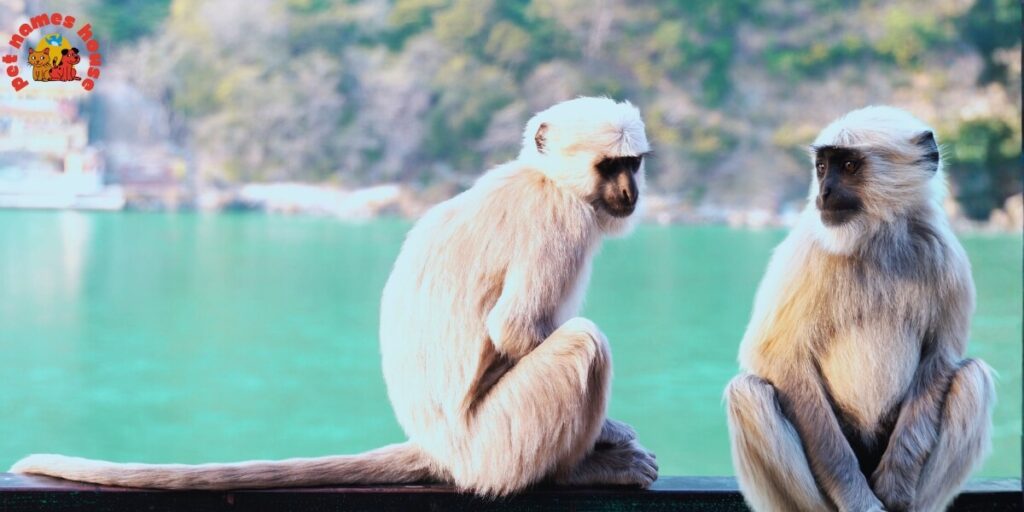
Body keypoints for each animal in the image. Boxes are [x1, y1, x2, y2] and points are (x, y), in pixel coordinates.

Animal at [11, 96, 658, 496]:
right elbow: (517, 329)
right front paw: (610, 434)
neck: (544, 180)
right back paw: (576, 472)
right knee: (582, 341)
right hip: (500, 446)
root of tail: (441, 451)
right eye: (611, 167)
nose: (630, 192)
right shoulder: (561, 223)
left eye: (633, 164)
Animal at [724, 106, 995, 512]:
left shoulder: (945, 255)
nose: (824, 192)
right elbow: (776, 355)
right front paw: (858, 500)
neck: (874, 238)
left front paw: (896, 487)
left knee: (971, 378)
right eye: (822, 167)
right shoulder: (808, 249)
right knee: (748, 392)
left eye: (850, 165)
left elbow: (939, 357)